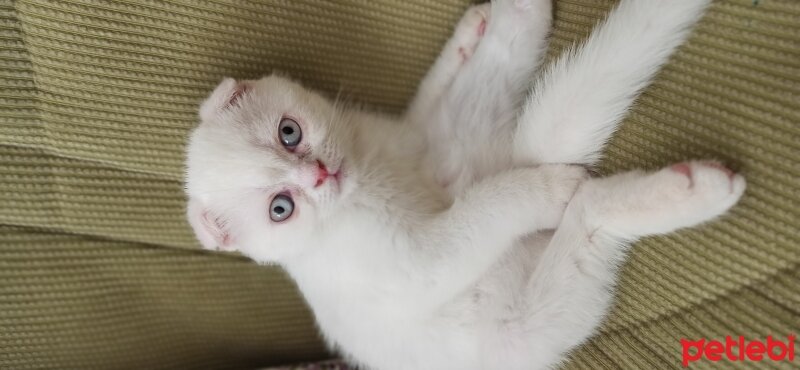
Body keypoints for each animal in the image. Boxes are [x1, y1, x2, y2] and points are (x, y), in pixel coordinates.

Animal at [184, 1, 740, 368]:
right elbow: (482, 211)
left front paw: (473, 32)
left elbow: (435, 95)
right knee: (588, 209)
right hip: (538, 318)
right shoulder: (417, 263)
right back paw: (694, 188)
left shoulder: (425, 140)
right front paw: (540, 192)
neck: (373, 171)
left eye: (289, 133)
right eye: (281, 208)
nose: (319, 175)